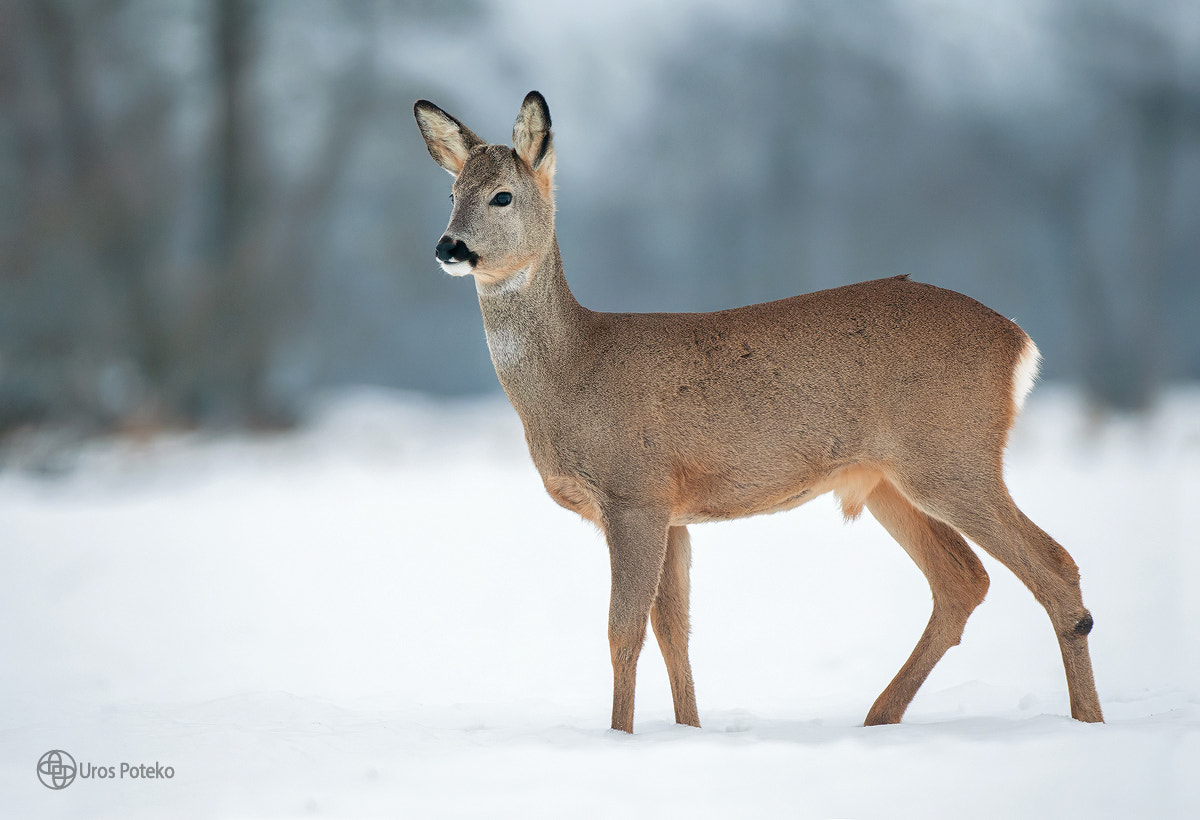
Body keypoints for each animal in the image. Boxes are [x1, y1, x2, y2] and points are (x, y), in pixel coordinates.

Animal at [415, 93, 1104, 734]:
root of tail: (1018, 341)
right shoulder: (673, 511)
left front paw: (620, 737)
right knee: (964, 579)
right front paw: (688, 732)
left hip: (952, 457)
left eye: (502, 196)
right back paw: (879, 718)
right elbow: (675, 631)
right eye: (451, 191)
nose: (449, 246)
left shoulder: (633, 493)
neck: (574, 370)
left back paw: (1087, 722)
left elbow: (623, 631)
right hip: (887, 479)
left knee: (1054, 566)